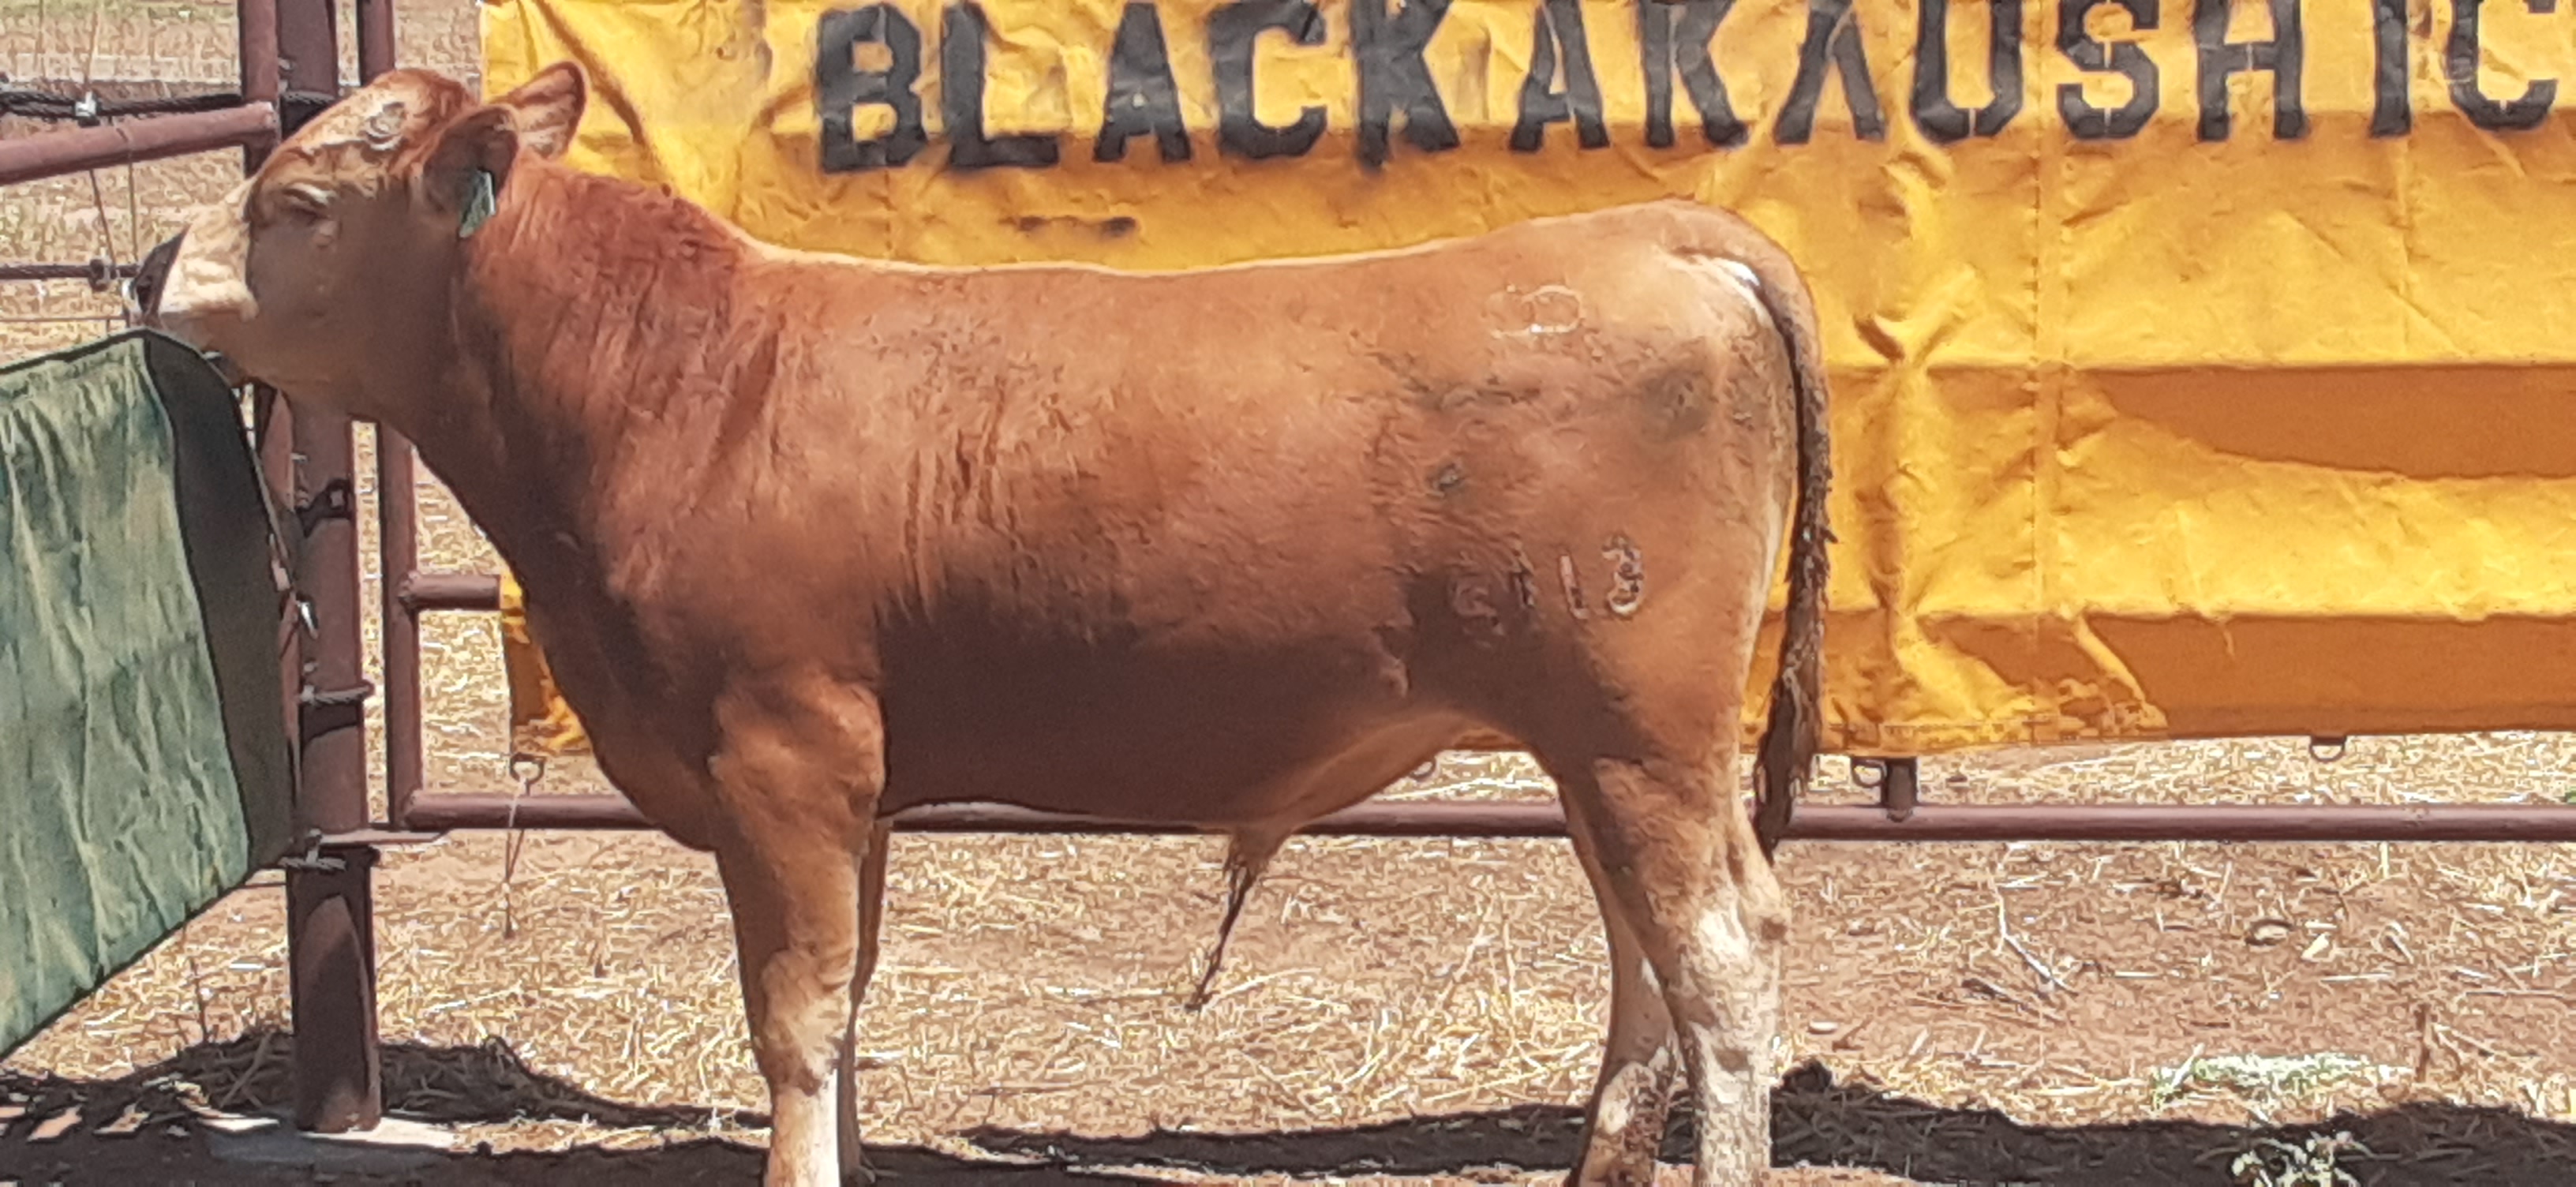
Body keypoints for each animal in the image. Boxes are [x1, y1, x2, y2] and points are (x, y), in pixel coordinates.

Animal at [147, 63, 1833, 1187]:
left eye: (297, 199)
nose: (158, 263)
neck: (684, 383)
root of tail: (1656, 233)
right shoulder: (852, 779)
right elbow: (843, 1004)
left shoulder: (782, 750)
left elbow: (793, 1015)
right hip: (1599, 743)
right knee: (1641, 944)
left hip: (1639, 728)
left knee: (1719, 953)